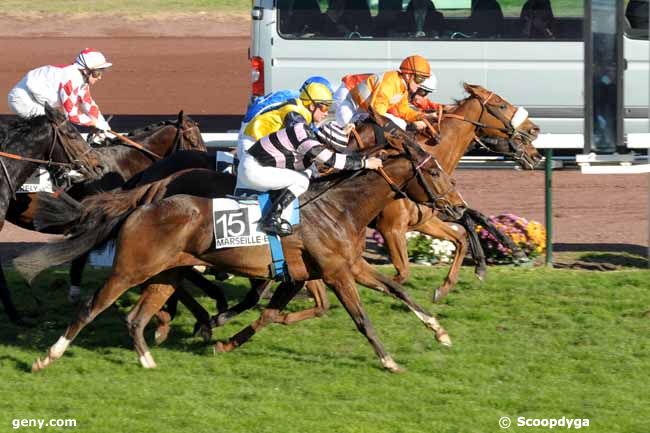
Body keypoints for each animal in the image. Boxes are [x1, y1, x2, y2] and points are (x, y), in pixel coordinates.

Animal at [20, 128, 464, 372]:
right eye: (434, 170)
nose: (458, 207)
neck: (340, 206)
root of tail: (145, 201)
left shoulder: (347, 267)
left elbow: (399, 290)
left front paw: (440, 332)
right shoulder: (336, 273)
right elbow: (362, 320)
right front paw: (389, 361)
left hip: (165, 273)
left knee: (136, 317)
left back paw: (150, 357)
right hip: (130, 269)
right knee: (91, 308)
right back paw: (48, 357)